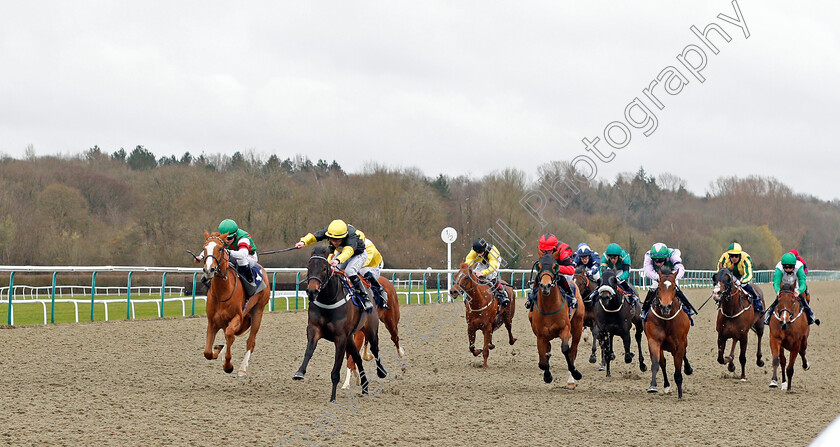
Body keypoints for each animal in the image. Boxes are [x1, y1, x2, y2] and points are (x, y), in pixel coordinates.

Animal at [200, 233, 270, 376]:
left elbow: (230, 334)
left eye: (221, 248)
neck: (222, 292)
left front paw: (228, 365)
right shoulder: (212, 322)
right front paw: (217, 351)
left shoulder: (238, 316)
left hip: (257, 312)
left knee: (250, 342)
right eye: (204, 248)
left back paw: (242, 369)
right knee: (230, 338)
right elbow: (207, 352)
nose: (209, 270)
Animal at [292, 247, 388, 404]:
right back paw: (365, 387)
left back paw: (381, 372)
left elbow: (336, 368)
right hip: (350, 339)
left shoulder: (340, 337)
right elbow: (309, 351)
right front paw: (300, 372)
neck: (328, 299)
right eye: (308, 267)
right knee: (357, 357)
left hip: (370, 329)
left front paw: (333, 398)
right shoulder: (314, 329)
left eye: (324, 268)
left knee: (375, 349)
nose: (312, 291)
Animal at [528, 256, 580, 388]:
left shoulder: (565, 328)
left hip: (578, 325)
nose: (545, 286)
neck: (549, 308)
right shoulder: (540, 335)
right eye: (539, 267)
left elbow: (566, 349)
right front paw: (547, 376)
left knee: (573, 350)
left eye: (554, 267)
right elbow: (542, 361)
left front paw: (575, 372)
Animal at [648, 266, 692, 400]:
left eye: (673, 287)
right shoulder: (654, 341)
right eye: (659, 287)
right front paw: (653, 386)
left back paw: (688, 368)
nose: (665, 306)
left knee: (684, 354)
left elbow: (678, 371)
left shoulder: (679, 344)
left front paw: (680, 394)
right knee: (663, 362)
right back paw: (666, 385)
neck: (666, 319)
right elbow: (656, 364)